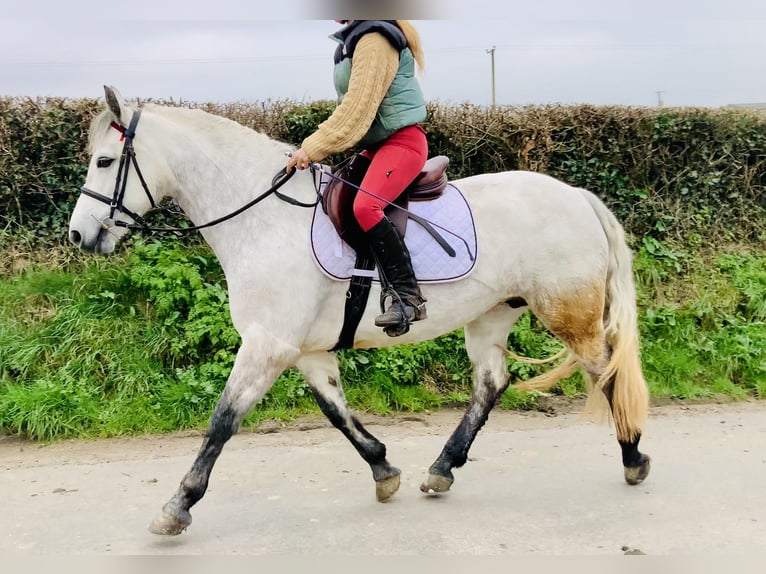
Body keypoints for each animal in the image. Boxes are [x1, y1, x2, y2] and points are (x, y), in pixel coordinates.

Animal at [68, 86, 651, 536]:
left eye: (104, 161)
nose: (78, 235)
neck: (263, 220)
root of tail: (577, 196)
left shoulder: (267, 345)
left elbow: (222, 421)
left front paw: (178, 505)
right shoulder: (305, 351)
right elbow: (337, 412)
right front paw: (384, 469)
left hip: (568, 314)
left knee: (605, 371)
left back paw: (633, 457)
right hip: (492, 315)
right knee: (492, 382)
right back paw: (442, 468)